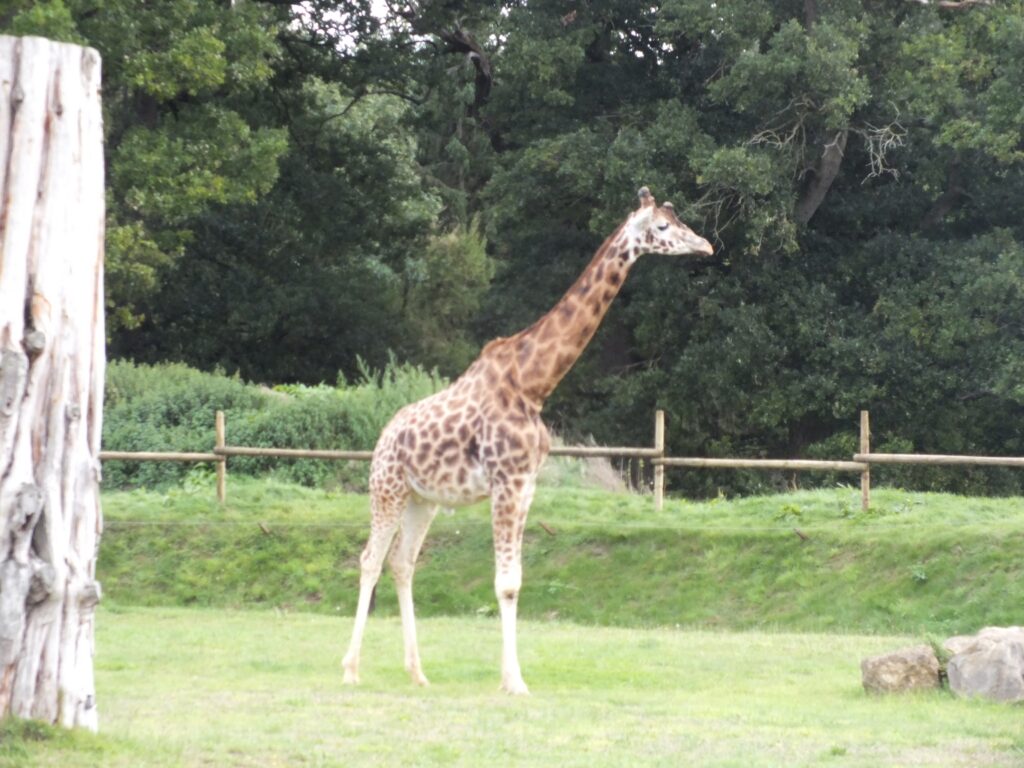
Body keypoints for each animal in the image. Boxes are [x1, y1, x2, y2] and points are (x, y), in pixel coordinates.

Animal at [341, 186, 713, 694]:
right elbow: (505, 583)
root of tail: (382, 437)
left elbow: (515, 579)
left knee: (402, 563)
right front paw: (514, 681)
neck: (535, 383)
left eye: (679, 222)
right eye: (661, 227)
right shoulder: (507, 483)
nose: (705, 246)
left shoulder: (526, 486)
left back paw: (418, 672)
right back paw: (350, 669)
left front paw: (509, 675)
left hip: (424, 499)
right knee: (369, 559)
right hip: (388, 489)